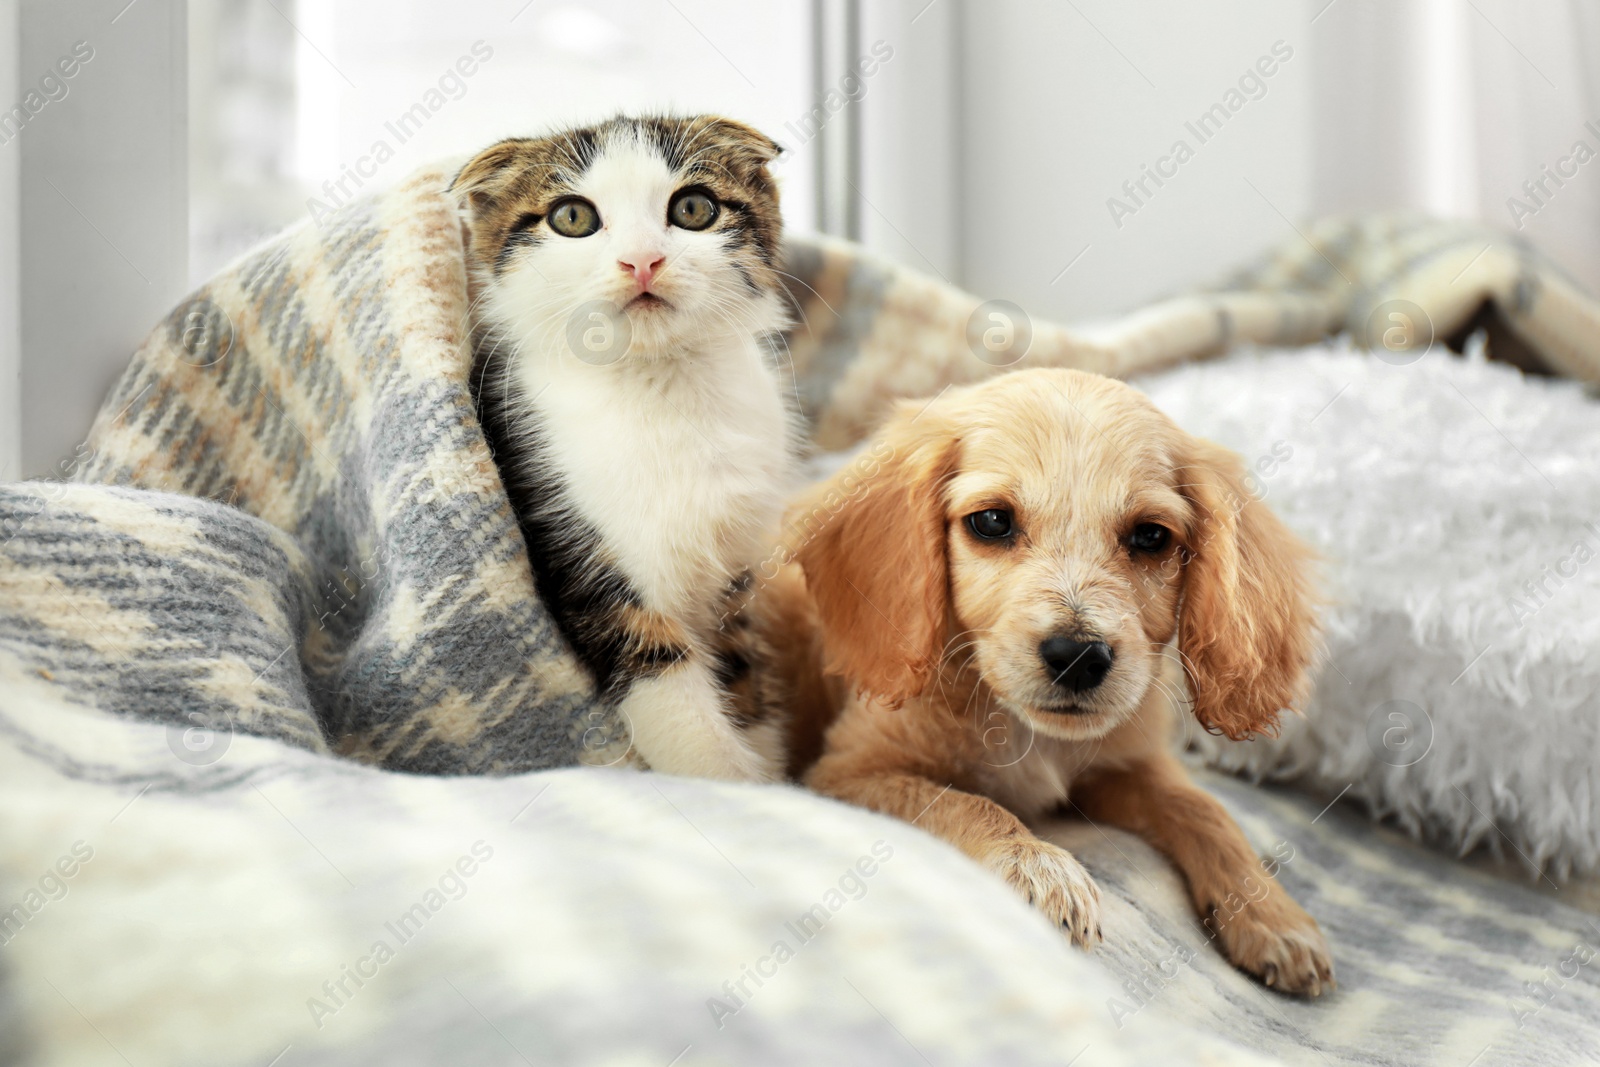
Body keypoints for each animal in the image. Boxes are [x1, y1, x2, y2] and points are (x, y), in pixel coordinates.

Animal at [451, 116, 793, 780]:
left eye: (693, 208)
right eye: (572, 217)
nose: (642, 260)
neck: (660, 384)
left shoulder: (737, 567)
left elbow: (740, 656)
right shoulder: (578, 549)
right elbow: (659, 676)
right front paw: (729, 777)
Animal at [793, 371, 1331, 998]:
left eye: (1151, 536)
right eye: (992, 522)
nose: (1077, 658)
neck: (1031, 735)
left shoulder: (1124, 767)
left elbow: (1202, 807)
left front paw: (1271, 914)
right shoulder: (847, 772)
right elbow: (962, 801)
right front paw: (1037, 866)